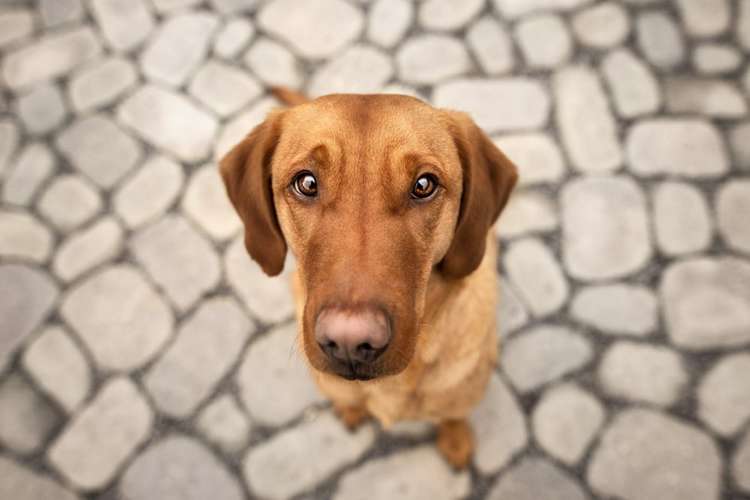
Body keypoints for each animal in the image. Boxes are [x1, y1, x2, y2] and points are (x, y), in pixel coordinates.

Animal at [220, 88, 520, 466]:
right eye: (306, 183)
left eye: (424, 185)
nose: (349, 342)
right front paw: (351, 410)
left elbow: (453, 416)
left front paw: (455, 439)